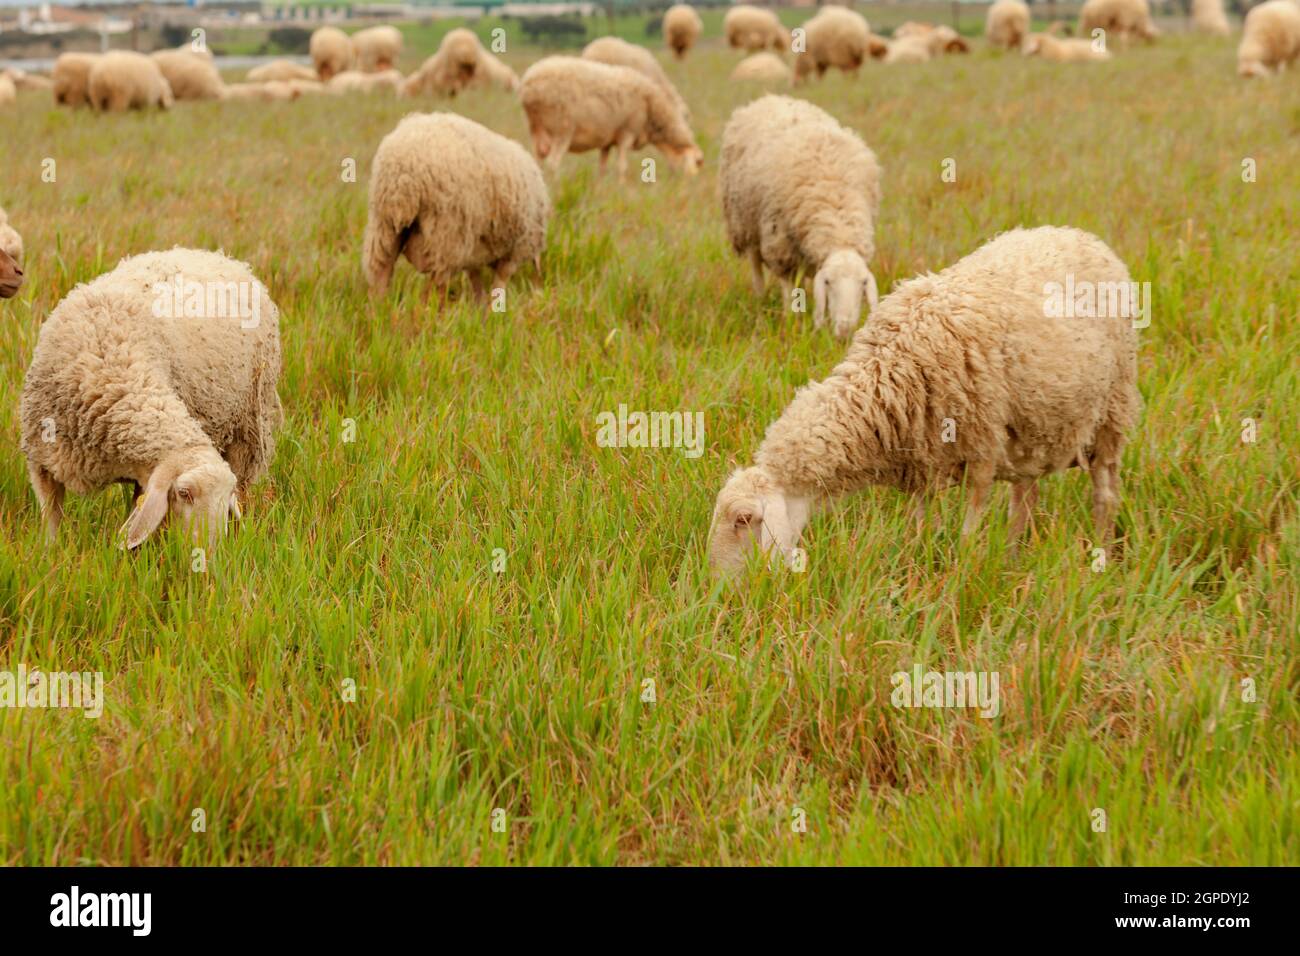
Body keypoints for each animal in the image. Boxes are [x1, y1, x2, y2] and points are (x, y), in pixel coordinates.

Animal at [19, 248, 283, 548]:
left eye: (224, 499)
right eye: (184, 493)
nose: (208, 552)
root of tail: (216, 255)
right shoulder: (41, 462)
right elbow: (50, 520)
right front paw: (48, 552)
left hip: (248, 430)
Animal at [362, 112, 550, 304]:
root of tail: (404, 172)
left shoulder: (473, 253)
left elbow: (476, 282)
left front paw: (479, 308)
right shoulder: (515, 250)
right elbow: (499, 284)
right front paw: (493, 307)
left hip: (383, 228)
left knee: (380, 275)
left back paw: (379, 308)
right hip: (445, 234)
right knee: (433, 289)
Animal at [519, 56, 703, 178]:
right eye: (697, 162)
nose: (685, 184)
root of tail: (529, 85)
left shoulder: (606, 141)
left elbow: (602, 167)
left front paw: (600, 186)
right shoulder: (627, 132)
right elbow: (622, 166)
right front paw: (623, 188)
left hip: (536, 129)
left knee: (537, 161)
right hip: (562, 129)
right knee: (552, 163)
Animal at [709, 226, 1140, 574]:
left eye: (743, 520)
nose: (721, 591)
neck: (885, 380)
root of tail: (1083, 236)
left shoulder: (981, 451)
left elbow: (967, 530)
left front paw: (960, 579)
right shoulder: (923, 460)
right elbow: (920, 522)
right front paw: (915, 568)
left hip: (1111, 411)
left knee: (1104, 494)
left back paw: (1102, 553)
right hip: (1033, 430)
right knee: (1025, 498)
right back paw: (1013, 559)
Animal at [719, 95, 881, 340]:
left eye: (863, 283)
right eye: (828, 282)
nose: (844, 332)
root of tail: (770, 97)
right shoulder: (780, 245)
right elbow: (788, 287)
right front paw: (791, 318)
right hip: (746, 221)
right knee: (755, 263)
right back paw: (760, 297)